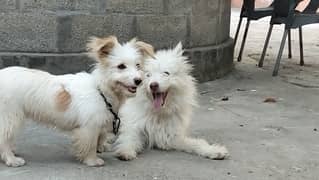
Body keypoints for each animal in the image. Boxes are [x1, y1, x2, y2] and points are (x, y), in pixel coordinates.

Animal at [0, 35, 155, 167]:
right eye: (121, 66)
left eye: (138, 65)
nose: (138, 80)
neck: (101, 90)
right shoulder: (89, 127)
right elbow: (91, 144)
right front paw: (92, 160)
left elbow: (100, 137)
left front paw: (100, 148)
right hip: (10, 117)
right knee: (4, 139)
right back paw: (11, 159)